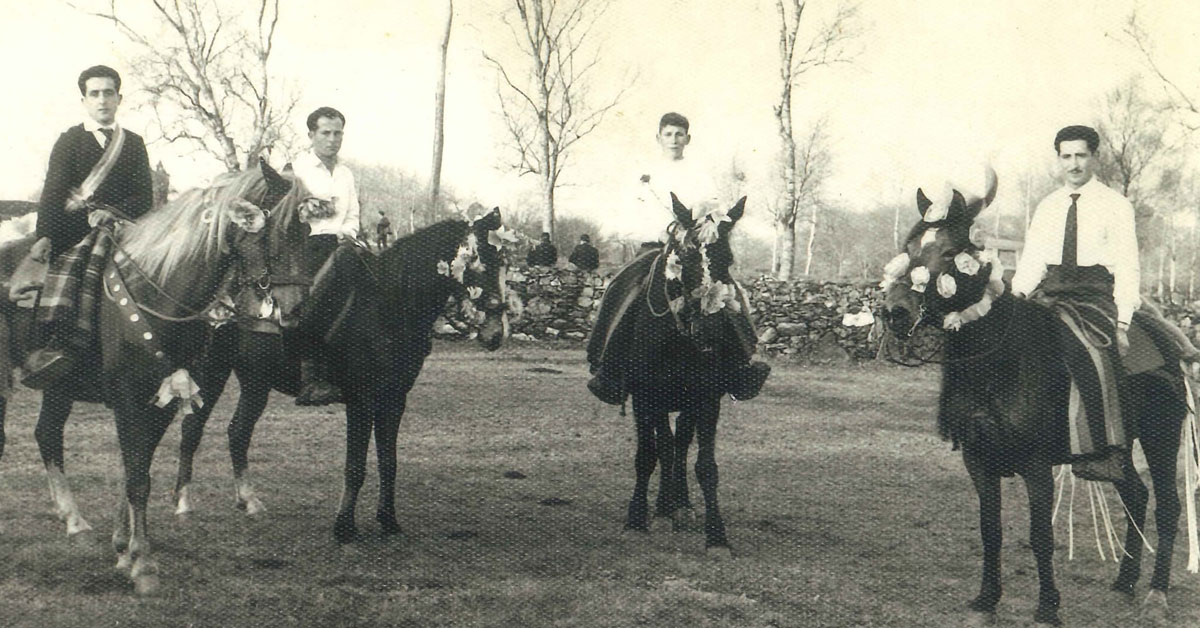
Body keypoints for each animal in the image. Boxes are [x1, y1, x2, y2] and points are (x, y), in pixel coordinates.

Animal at [174, 210, 506, 540]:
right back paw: (183, 504)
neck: (388, 306)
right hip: (211, 372)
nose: (496, 332)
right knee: (192, 429)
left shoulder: (394, 400)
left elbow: (389, 463)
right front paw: (344, 526)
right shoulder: (361, 402)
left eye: (503, 262)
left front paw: (388, 521)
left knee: (238, 432)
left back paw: (249, 501)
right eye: (479, 259)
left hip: (256, 383)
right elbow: (355, 467)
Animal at [600, 195, 748, 554]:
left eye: (728, 259)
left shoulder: (707, 401)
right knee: (667, 447)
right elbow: (649, 455)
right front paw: (638, 521)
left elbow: (704, 465)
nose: (709, 330)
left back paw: (680, 506)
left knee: (680, 445)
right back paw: (664, 510)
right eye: (685, 258)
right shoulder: (644, 398)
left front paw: (716, 536)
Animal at [878, 169, 1195, 624]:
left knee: (1167, 506)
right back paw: (1125, 582)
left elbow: (1040, 534)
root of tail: (1168, 337)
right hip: (1117, 447)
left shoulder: (1036, 463)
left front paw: (1047, 607)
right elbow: (990, 529)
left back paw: (1156, 595)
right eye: (908, 248)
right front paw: (986, 599)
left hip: (1161, 438)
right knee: (1136, 495)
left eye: (951, 251)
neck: (998, 361)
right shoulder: (978, 458)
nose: (895, 311)